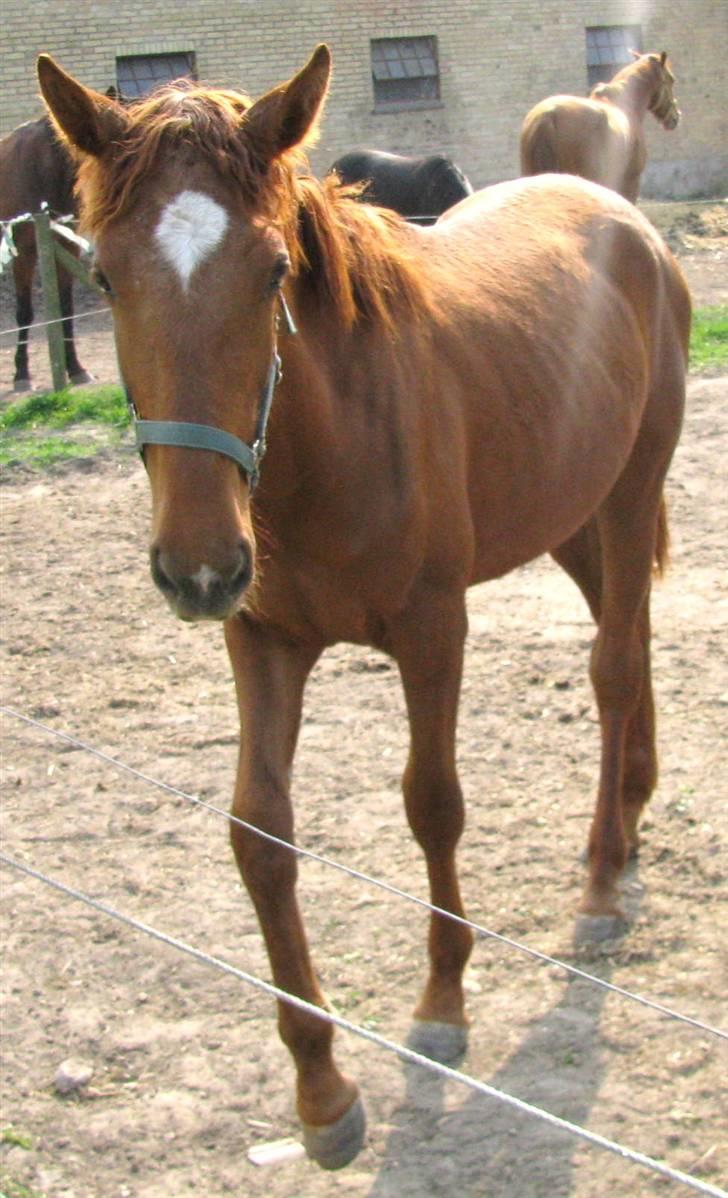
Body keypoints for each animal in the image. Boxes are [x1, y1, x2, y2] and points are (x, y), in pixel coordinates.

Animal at [0, 113, 95, 391]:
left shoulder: (66, 247)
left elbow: (65, 309)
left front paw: (75, 368)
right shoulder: (24, 252)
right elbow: (24, 312)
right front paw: (21, 374)